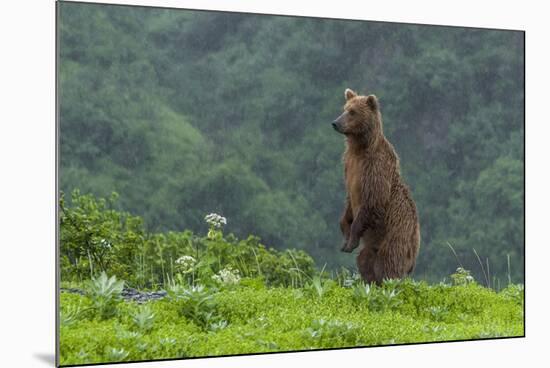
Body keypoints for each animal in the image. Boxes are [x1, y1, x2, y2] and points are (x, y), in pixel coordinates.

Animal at [332, 87, 422, 284]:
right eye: (344, 108)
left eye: (352, 112)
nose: (335, 123)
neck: (359, 147)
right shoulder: (349, 165)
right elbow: (348, 203)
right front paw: (344, 236)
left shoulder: (374, 168)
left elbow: (373, 200)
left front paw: (351, 241)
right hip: (372, 245)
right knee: (365, 260)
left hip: (395, 236)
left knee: (388, 264)